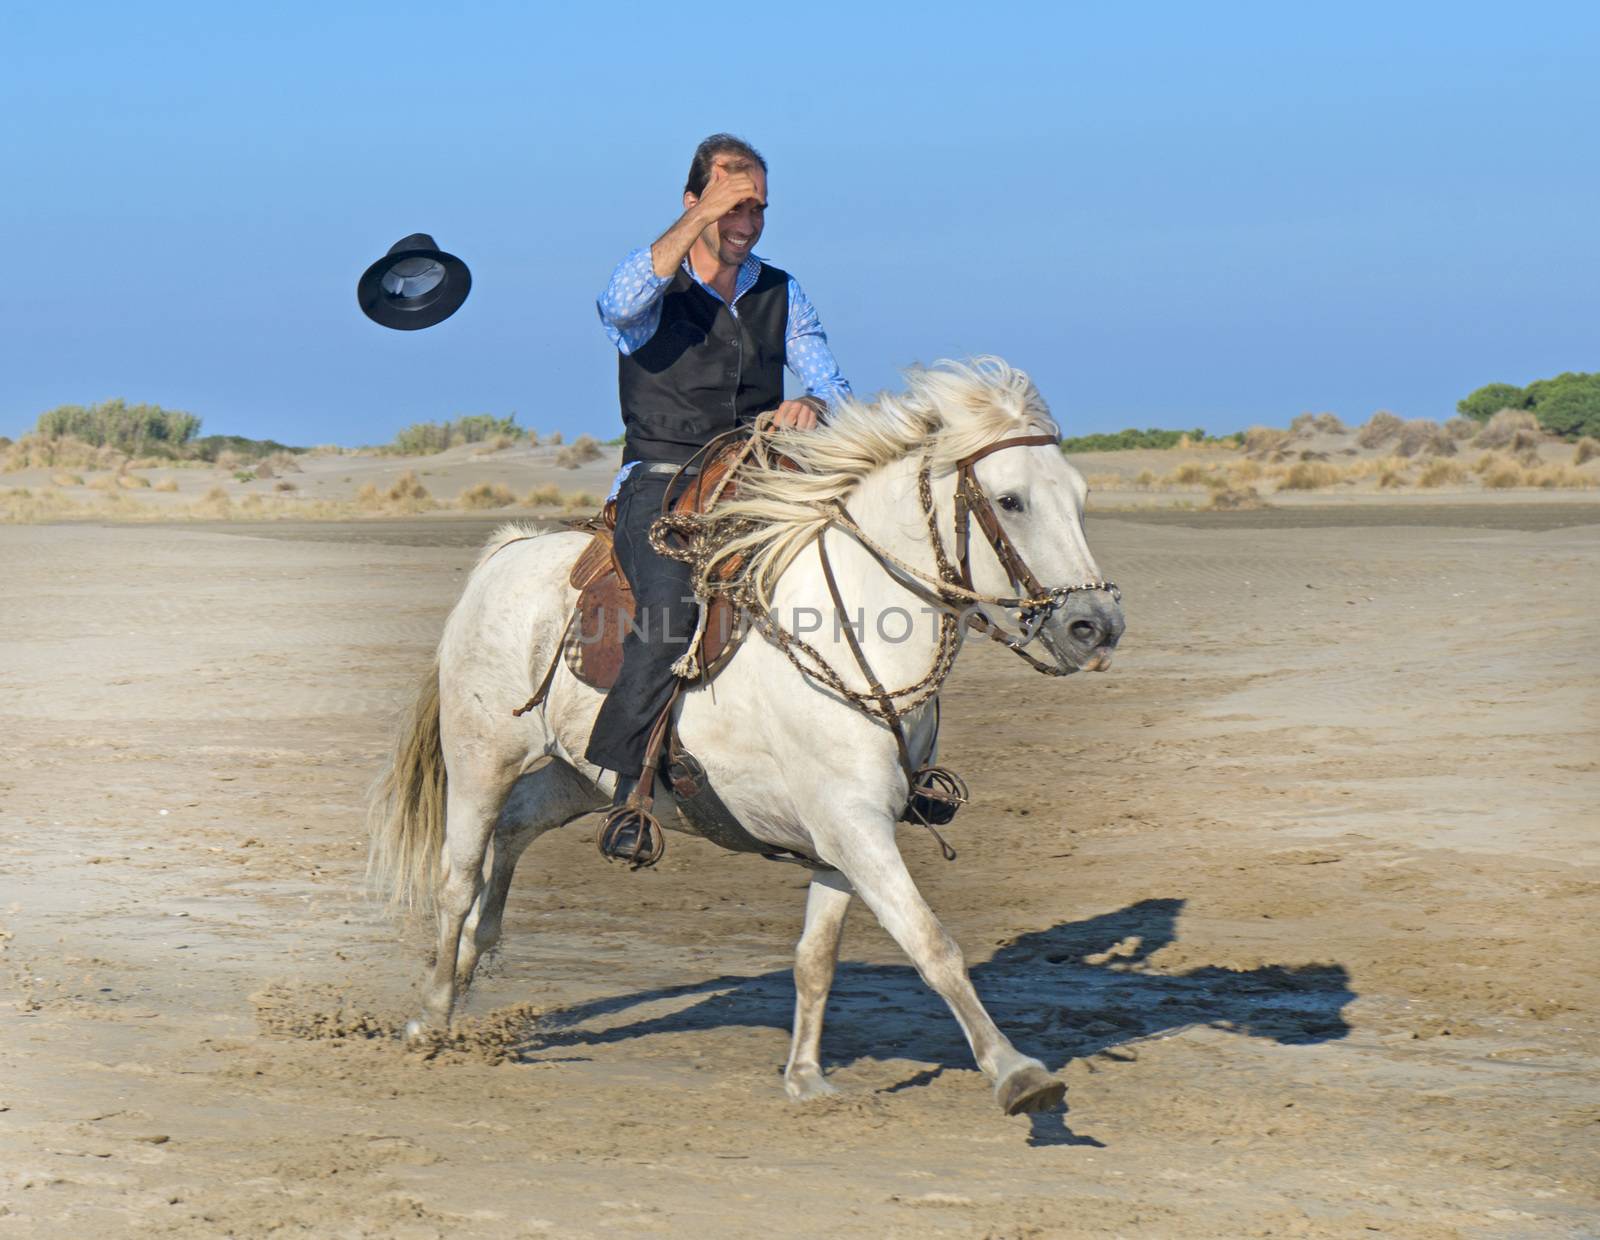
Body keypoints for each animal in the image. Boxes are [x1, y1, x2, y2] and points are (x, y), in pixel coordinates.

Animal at [371, 356, 1126, 1113]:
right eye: (1010, 500)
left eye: (1083, 495)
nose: (1095, 628)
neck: (854, 626)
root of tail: (507, 552)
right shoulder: (856, 827)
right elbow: (931, 943)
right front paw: (1016, 1072)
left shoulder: (845, 837)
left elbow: (816, 958)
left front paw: (806, 1077)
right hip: (481, 758)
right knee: (458, 876)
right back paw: (432, 1017)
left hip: (575, 777)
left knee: (514, 831)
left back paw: (470, 964)